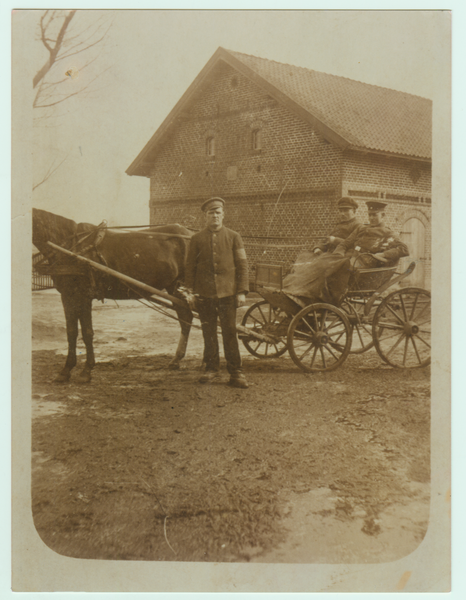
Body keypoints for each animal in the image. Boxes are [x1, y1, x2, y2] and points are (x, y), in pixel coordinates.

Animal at [32, 209, 193, 382]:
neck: (71, 247)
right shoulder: (68, 295)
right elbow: (71, 332)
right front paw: (65, 371)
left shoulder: (83, 296)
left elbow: (87, 332)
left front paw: (86, 371)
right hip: (175, 288)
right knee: (186, 319)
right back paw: (176, 360)